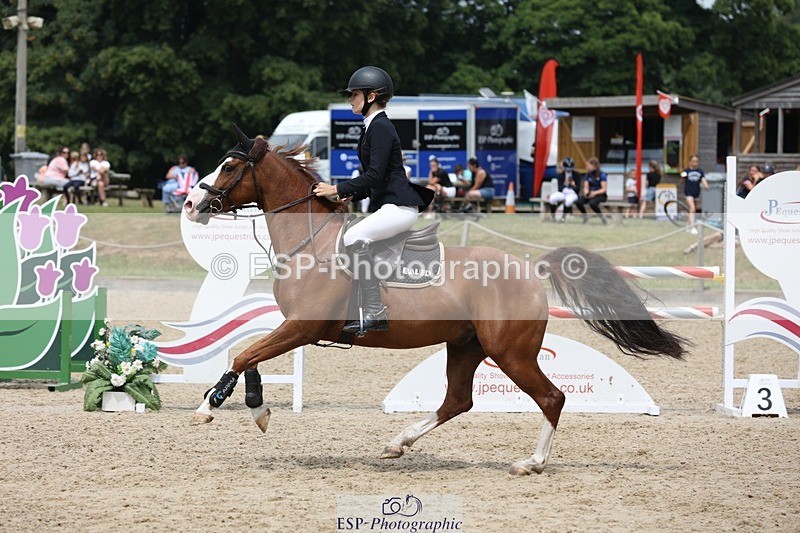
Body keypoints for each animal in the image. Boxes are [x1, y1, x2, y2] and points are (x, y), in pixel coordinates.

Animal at [182, 125, 686, 476]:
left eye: (229, 167)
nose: (190, 205)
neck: (312, 242)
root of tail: (531, 270)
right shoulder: (295, 328)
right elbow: (249, 355)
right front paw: (256, 406)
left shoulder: (303, 327)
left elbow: (244, 353)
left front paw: (212, 405)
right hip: (466, 346)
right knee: (458, 400)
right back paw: (397, 443)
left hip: (510, 352)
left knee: (551, 397)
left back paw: (531, 463)